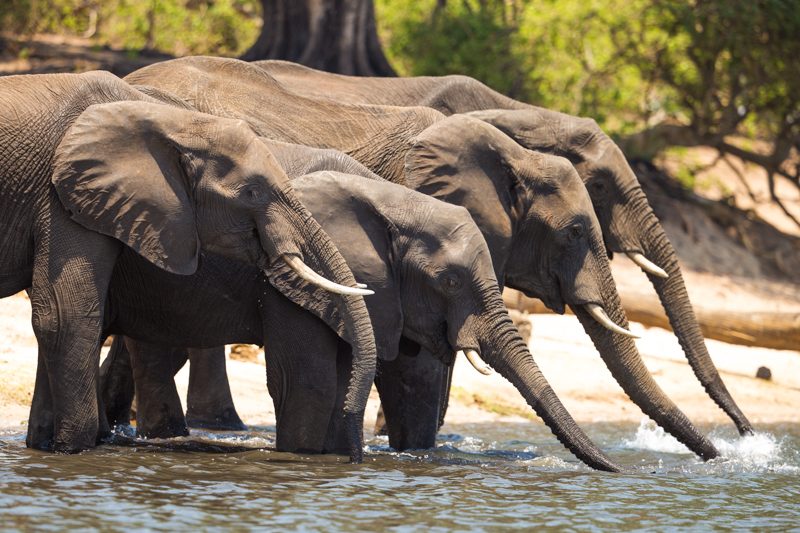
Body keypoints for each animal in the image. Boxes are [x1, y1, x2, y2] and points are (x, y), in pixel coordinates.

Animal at [0, 74, 376, 458]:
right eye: (252, 192)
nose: (355, 459)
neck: (174, 123)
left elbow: (59, 315)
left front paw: (47, 447)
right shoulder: (64, 195)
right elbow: (66, 315)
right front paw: (73, 451)